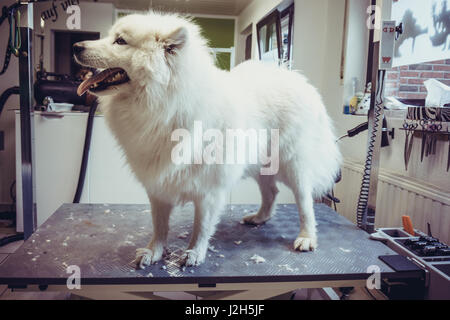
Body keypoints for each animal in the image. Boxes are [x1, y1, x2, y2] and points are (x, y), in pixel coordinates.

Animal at [74, 11, 342, 268]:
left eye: (120, 41)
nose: (76, 46)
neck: (166, 104)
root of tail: (297, 79)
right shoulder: (159, 185)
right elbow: (159, 226)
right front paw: (154, 251)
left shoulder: (208, 189)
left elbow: (201, 226)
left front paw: (194, 253)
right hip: (259, 163)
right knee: (271, 191)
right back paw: (259, 218)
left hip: (293, 166)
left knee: (305, 203)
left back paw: (307, 237)